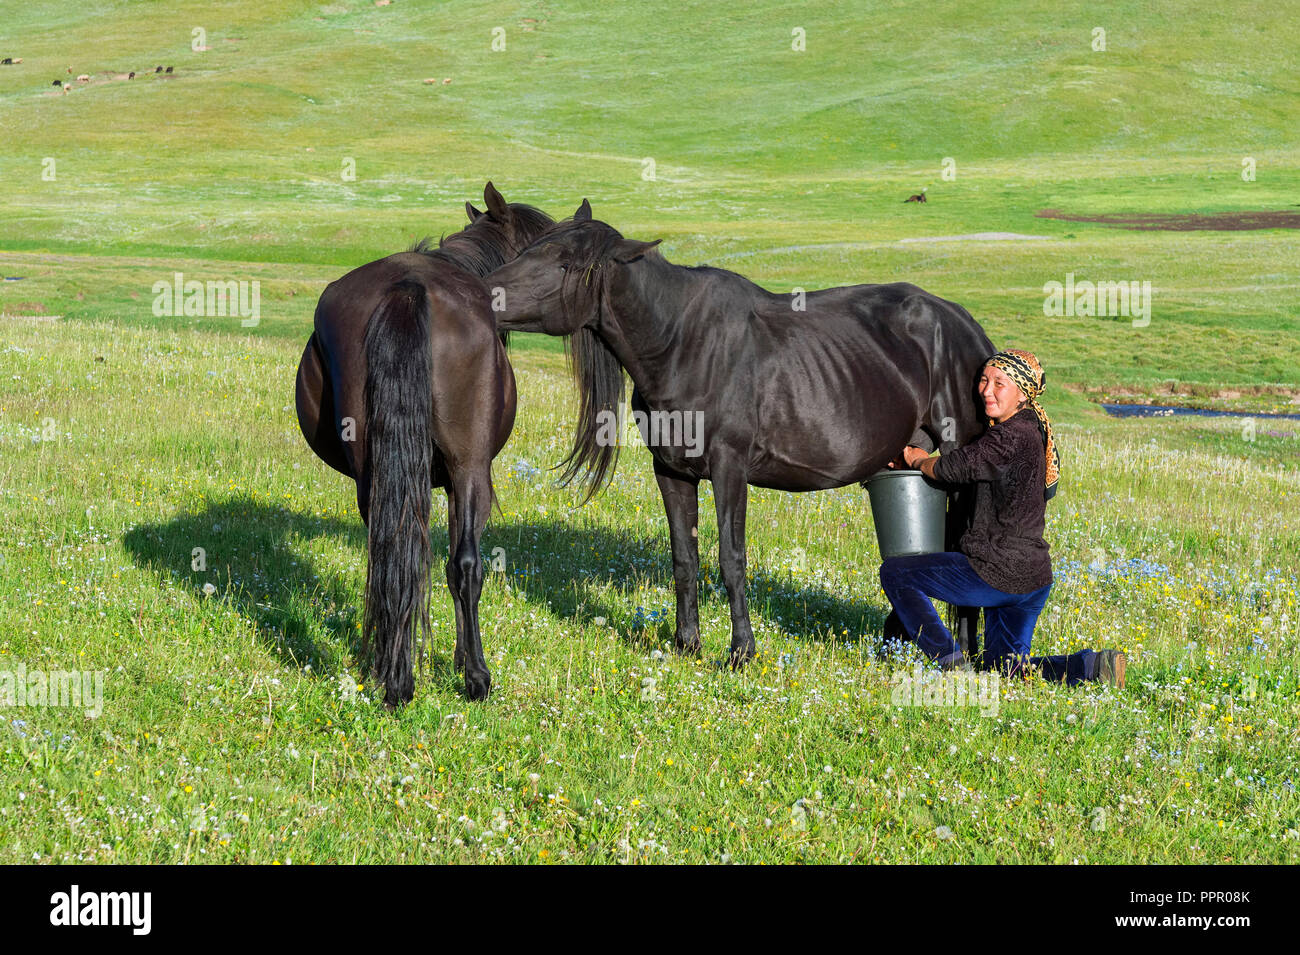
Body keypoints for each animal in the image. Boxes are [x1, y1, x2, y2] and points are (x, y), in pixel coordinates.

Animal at [295, 184, 553, 701]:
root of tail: (407, 287)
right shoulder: (460, 477)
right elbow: (460, 564)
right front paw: (464, 665)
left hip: (373, 473)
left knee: (392, 554)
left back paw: (394, 675)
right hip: (471, 470)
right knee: (465, 565)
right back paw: (475, 676)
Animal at [488, 203, 993, 665]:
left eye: (565, 264)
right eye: (529, 250)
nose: (486, 295)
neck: (681, 343)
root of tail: (968, 327)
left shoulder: (729, 469)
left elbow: (732, 559)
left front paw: (740, 652)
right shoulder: (671, 471)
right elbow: (684, 557)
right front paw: (687, 644)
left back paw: (969, 657)